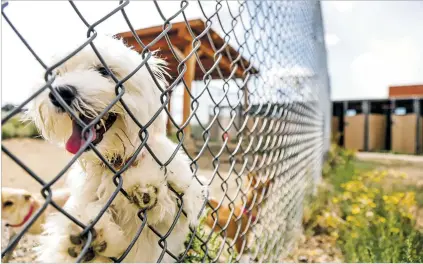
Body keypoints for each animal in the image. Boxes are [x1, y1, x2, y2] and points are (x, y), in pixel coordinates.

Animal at [25, 36, 208, 262]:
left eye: (103, 71)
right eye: (58, 74)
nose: (59, 92)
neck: (116, 160)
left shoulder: (186, 194)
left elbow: (177, 198)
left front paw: (145, 187)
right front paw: (85, 234)